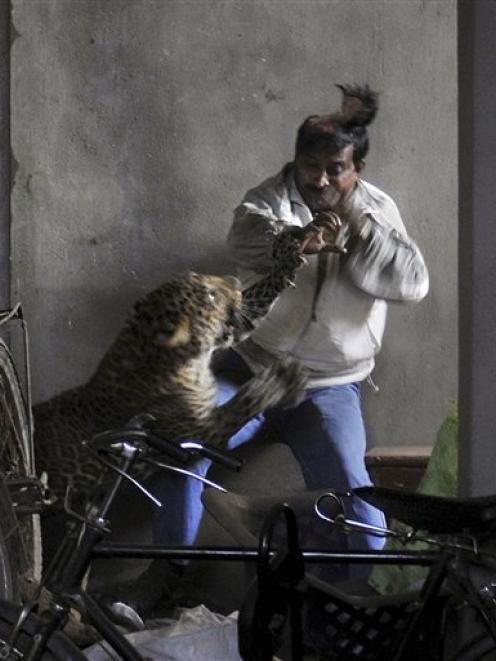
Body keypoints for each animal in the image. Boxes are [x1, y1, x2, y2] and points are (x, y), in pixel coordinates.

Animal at [33, 230, 307, 502]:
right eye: (210, 296)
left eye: (196, 275)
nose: (235, 280)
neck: (191, 362)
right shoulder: (195, 440)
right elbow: (243, 403)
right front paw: (282, 377)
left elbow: (257, 299)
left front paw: (285, 259)